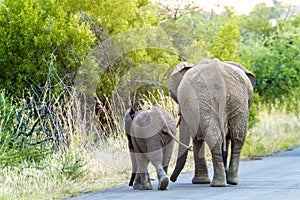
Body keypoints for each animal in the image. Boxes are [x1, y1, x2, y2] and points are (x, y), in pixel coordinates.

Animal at [169, 58, 255, 187]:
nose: (171, 179)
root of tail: (220, 79)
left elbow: (197, 138)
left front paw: (200, 182)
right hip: (237, 101)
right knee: (237, 138)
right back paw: (231, 181)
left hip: (209, 101)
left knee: (216, 137)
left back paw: (218, 183)